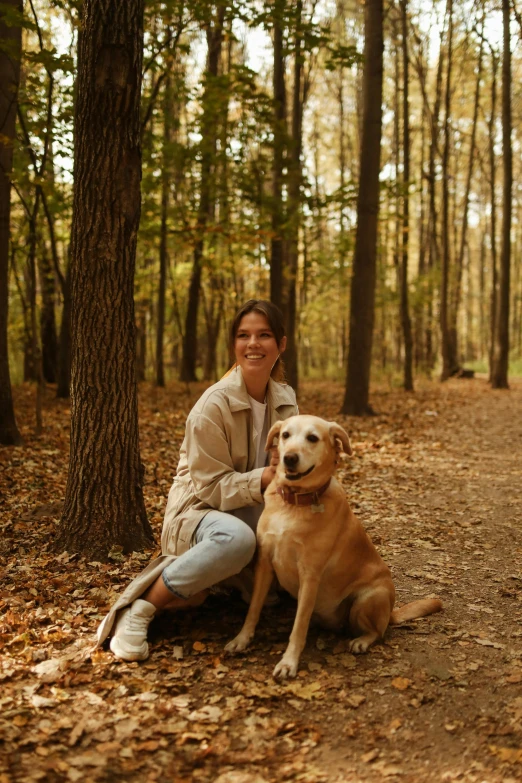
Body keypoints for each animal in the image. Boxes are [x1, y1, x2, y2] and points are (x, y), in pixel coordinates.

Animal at [225, 416, 440, 680]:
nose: (289, 458)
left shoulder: (310, 576)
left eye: (312, 438)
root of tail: (391, 612)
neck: (294, 503)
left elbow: (299, 626)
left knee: (378, 632)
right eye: (285, 435)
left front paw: (289, 662)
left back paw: (361, 641)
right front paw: (242, 639)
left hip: (367, 599)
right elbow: (254, 609)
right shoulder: (265, 564)